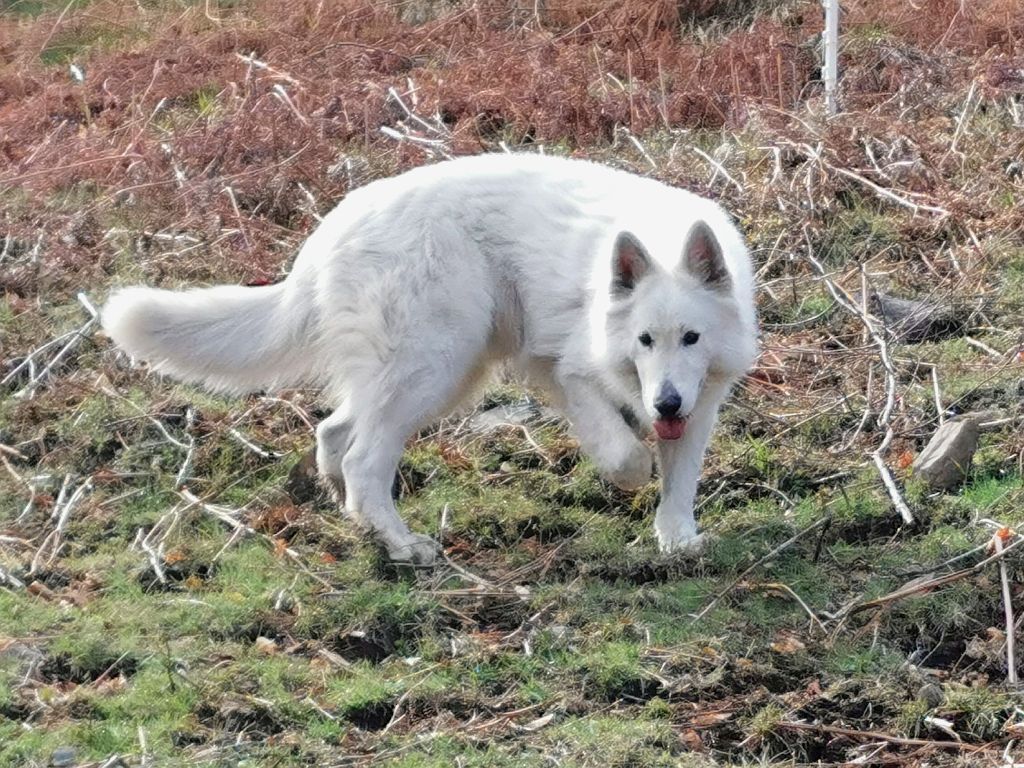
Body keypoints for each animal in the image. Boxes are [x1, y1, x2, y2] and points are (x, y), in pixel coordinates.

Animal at [103, 154, 757, 565]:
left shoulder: (700, 403)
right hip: (434, 366)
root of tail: (331, 229)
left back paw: (358, 521)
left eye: (691, 338)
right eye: (644, 340)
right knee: (365, 458)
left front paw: (676, 539)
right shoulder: (566, 368)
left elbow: (680, 480)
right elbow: (627, 457)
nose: (664, 403)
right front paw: (631, 470)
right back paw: (401, 546)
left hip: (437, 375)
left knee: (335, 433)